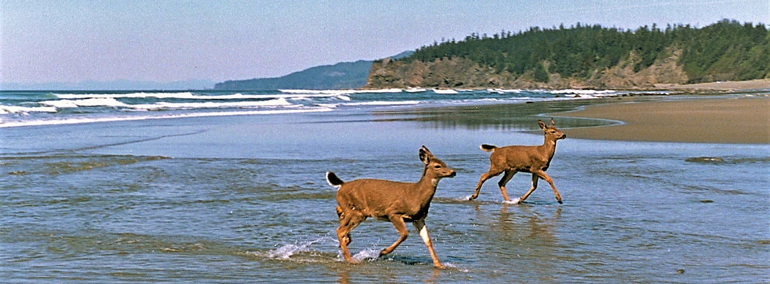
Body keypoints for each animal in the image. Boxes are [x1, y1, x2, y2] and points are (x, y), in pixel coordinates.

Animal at [322, 146, 452, 268]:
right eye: (437, 166)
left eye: (444, 163)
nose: (453, 172)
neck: (416, 196)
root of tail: (342, 185)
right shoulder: (393, 212)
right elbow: (404, 234)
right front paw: (382, 252)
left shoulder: (418, 218)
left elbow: (428, 240)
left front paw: (439, 265)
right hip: (358, 212)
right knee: (340, 230)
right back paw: (350, 259)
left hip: (353, 210)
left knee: (339, 214)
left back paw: (346, 242)